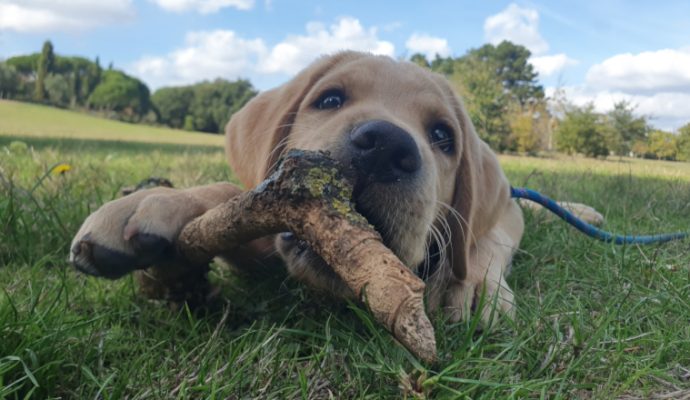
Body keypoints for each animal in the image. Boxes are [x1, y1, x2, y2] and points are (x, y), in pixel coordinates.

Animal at [68, 51, 596, 324]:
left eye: (443, 136)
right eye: (329, 99)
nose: (384, 146)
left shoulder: (498, 221)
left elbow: (483, 246)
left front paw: (467, 287)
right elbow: (225, 193)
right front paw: (153, 201)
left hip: (508, 207)